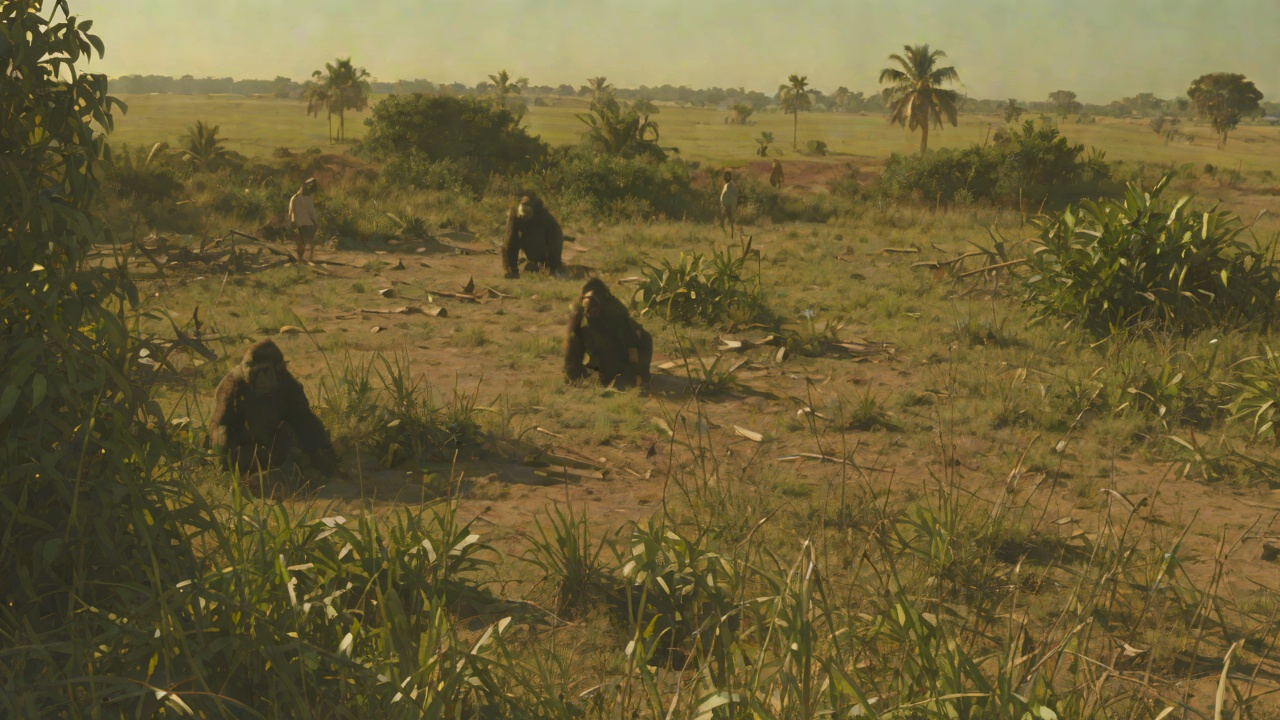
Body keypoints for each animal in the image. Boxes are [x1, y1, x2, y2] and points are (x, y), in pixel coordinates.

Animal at [210, 339, 338, 479]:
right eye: (254, 371)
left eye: (265, 370)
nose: (260, 377)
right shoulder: (230, 381)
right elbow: (220, 423)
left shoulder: (290, 383)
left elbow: (304, 419)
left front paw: (325, 457)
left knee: (286, 429)